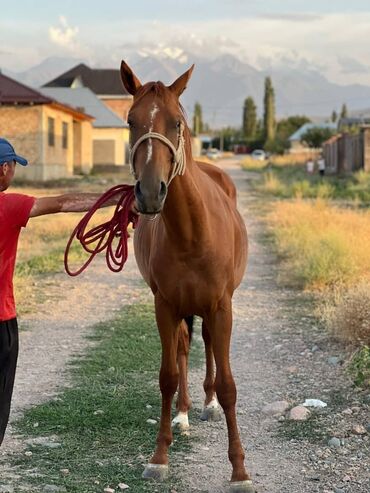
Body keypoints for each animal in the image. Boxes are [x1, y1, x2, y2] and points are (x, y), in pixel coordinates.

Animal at [121, 61, 254, 492]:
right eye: (130, 121)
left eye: (177, 122)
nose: (149, 193)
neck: (193, 232)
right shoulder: (164, 306)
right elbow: (167, 375)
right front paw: (159, 457)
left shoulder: (221, 307)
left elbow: (229, 385)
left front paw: (239, 470)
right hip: (181, 309)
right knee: (182, 349)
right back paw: (183, 414)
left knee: (209, 345)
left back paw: (207, 404)